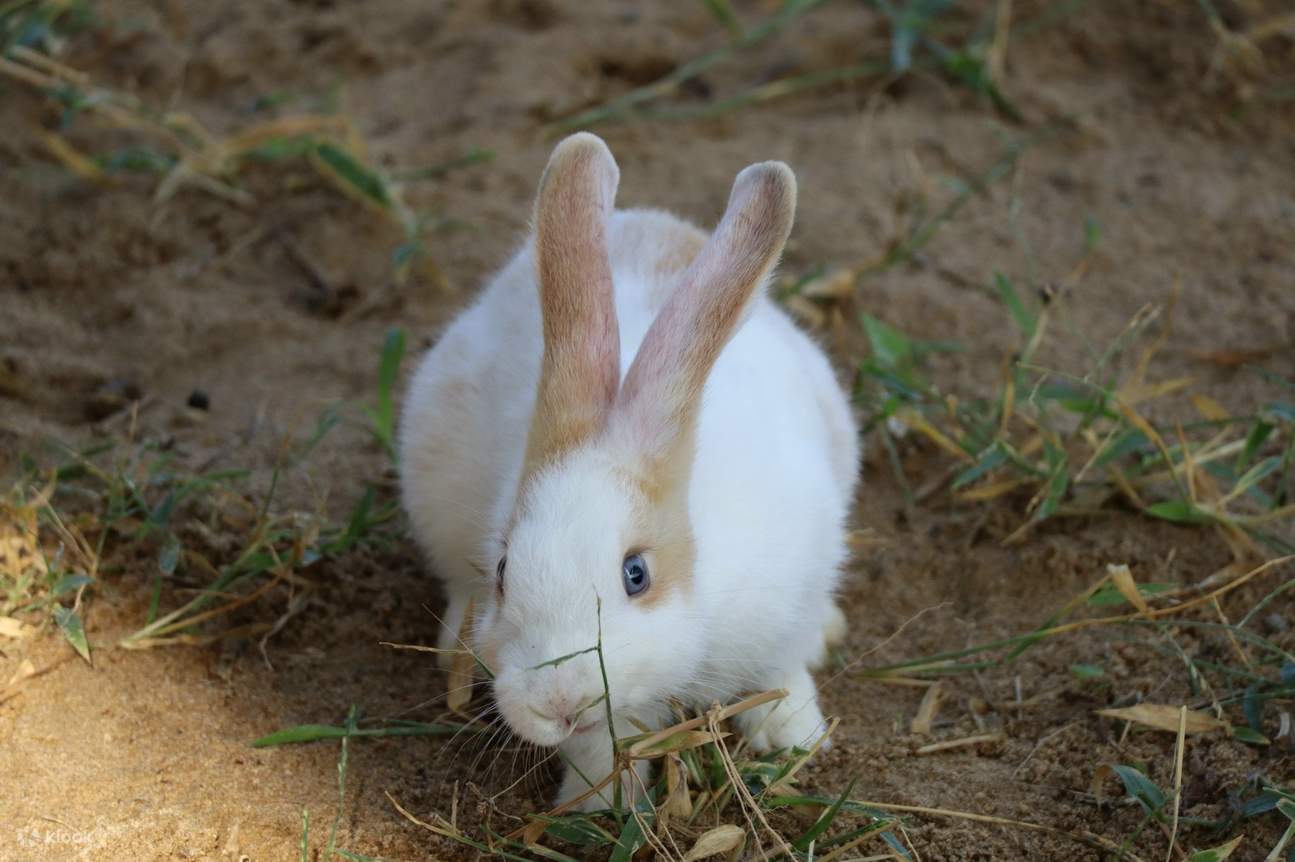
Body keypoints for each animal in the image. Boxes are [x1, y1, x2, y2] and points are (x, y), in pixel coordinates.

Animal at [400, 133, 859, 811]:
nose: (559, 702)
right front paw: (598, 806)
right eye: (504, 571)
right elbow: (602, 749)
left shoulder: (793, 588)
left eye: (635, 574)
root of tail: (648, 221)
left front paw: (792, 736)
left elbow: (783, 667)